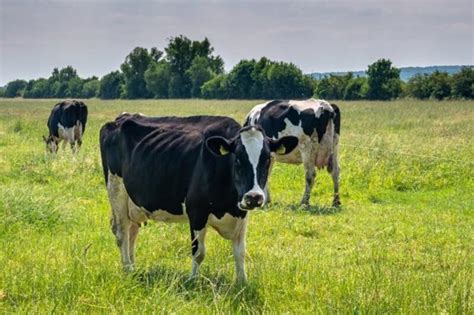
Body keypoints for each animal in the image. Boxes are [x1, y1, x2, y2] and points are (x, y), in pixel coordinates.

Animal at [99, 113, 298, 282]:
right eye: (237, 159)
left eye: (267, 159)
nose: (254, 197)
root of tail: (119, 120)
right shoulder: (196, 212)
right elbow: (199, 252)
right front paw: (193, 280)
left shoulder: (242, 214)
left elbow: (240, 252)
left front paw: (242, 282)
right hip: (116, 191)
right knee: (122, 232)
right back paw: (127, 268)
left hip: (134, 203)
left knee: (132, 231)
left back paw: (133, 266)